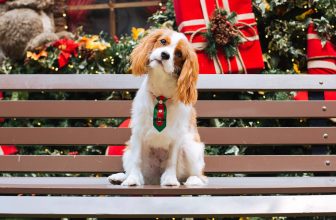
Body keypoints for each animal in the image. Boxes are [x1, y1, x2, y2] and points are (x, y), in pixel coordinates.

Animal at [107, 27, 207, 186]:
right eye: (163, 41)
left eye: (179, 53)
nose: (165, 54)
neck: (161, 95)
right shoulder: (138, 132)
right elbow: (136, 159)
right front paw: (133, 179)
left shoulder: (177, 134)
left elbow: (172, 160)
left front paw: (170, 179)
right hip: (128, 151)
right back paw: (121, 177)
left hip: (191, 147)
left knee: (199, 175)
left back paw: (193, 180)